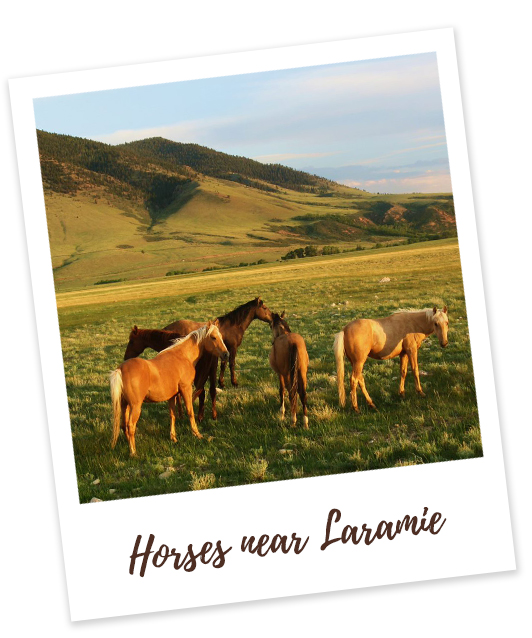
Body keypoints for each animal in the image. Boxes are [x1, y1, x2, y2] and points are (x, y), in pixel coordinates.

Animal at [110, 324, 229, 456]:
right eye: (213, 337)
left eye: (221, 336)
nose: (226, 354)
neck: (182, 356)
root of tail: (120, 369)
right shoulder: (186, 389)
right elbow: (190, 411)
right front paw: (197, 434)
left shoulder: (172, 396)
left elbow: (173, 415)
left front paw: (173, 438)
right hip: (135, 406)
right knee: (130, 426)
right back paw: (133, 452)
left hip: (124, 405)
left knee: (123, 425)